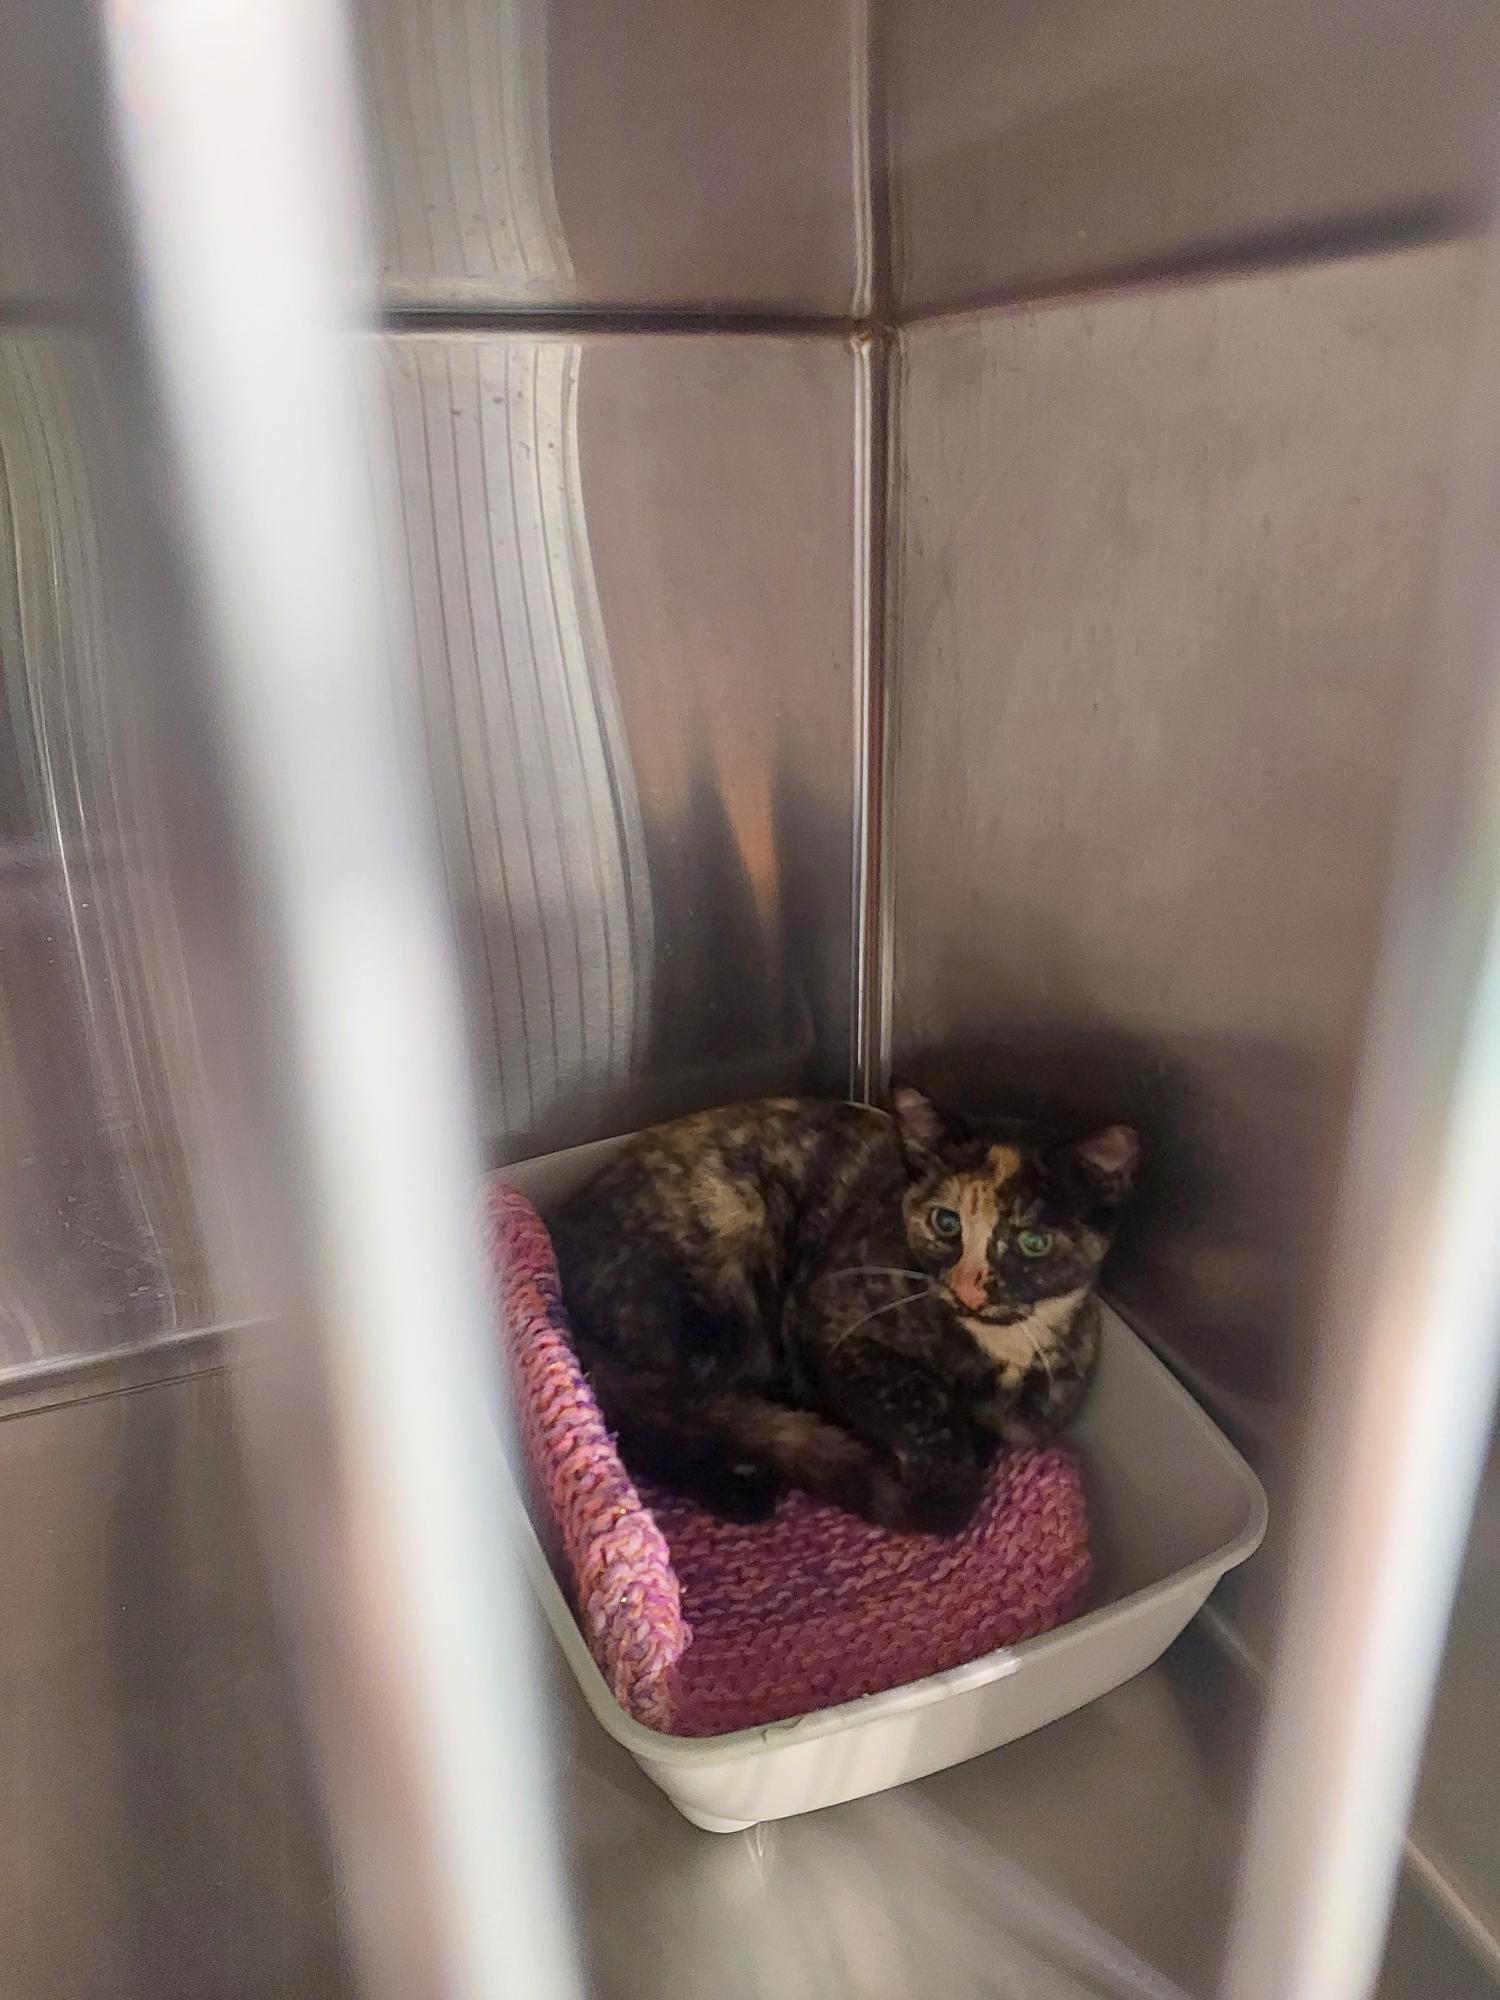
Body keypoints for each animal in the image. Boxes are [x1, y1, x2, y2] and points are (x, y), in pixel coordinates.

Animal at [551, 1087, 1139, 1535]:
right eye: (945, 1223)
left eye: (1033, 1242)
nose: (969, 1291)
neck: (1002, 1348)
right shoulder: (832, 1322)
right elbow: (922, 1401)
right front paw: (941, 1486)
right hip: (727, 1239)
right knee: (657, 1424)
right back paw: (744, 1488)